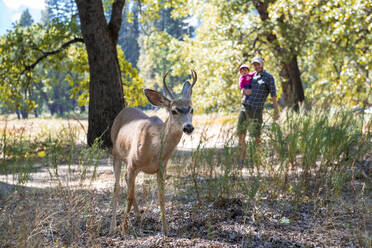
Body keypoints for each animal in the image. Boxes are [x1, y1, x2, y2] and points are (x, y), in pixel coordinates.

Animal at [109, 69, 198, 234]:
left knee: (126, 181)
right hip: (116, 153)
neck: (154, 149)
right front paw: (124, 229)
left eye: (192, 109)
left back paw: (139, 218)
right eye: (174, 111)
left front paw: (165, 230)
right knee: (117, 187)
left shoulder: (161, 168)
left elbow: (161, 197)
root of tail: (124, 109)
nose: (188, 127)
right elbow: (129, 197)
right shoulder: (132, 163)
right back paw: (113, 227)